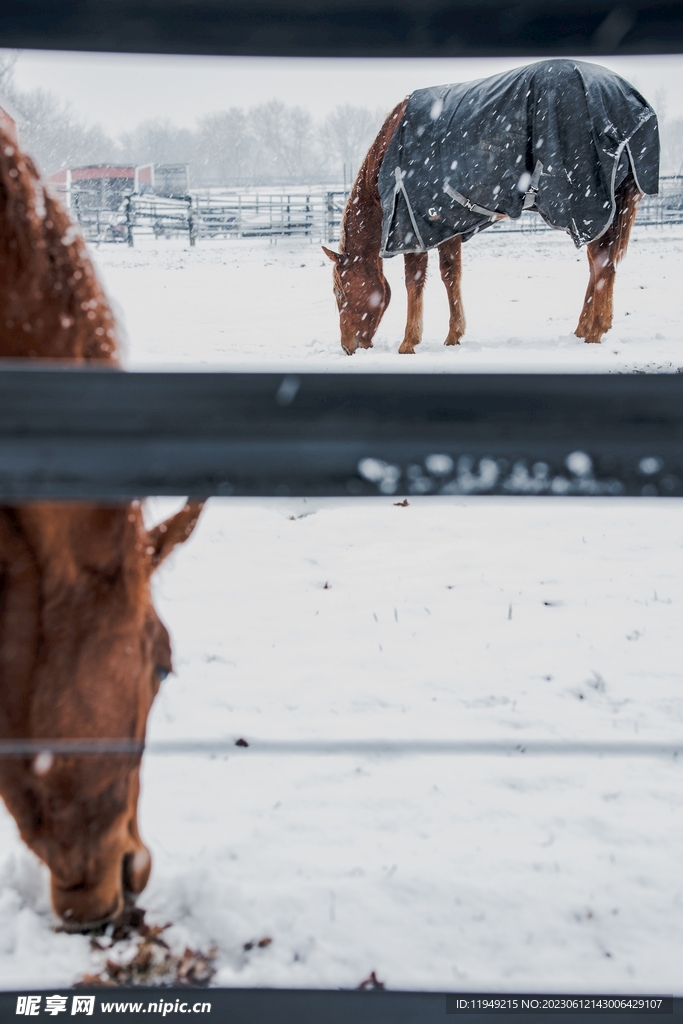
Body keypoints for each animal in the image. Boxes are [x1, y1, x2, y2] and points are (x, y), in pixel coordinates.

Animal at [323, 61, 658, 355]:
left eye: (339, 292)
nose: (348, 347)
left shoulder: (411, 227)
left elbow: (413, 282)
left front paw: (409, 343)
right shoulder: (446, 225)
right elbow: (450, 275)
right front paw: (453, 335)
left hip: (589, 207)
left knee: (601, 263)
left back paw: (594, 331)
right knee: (599, 264)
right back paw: (585, 327)